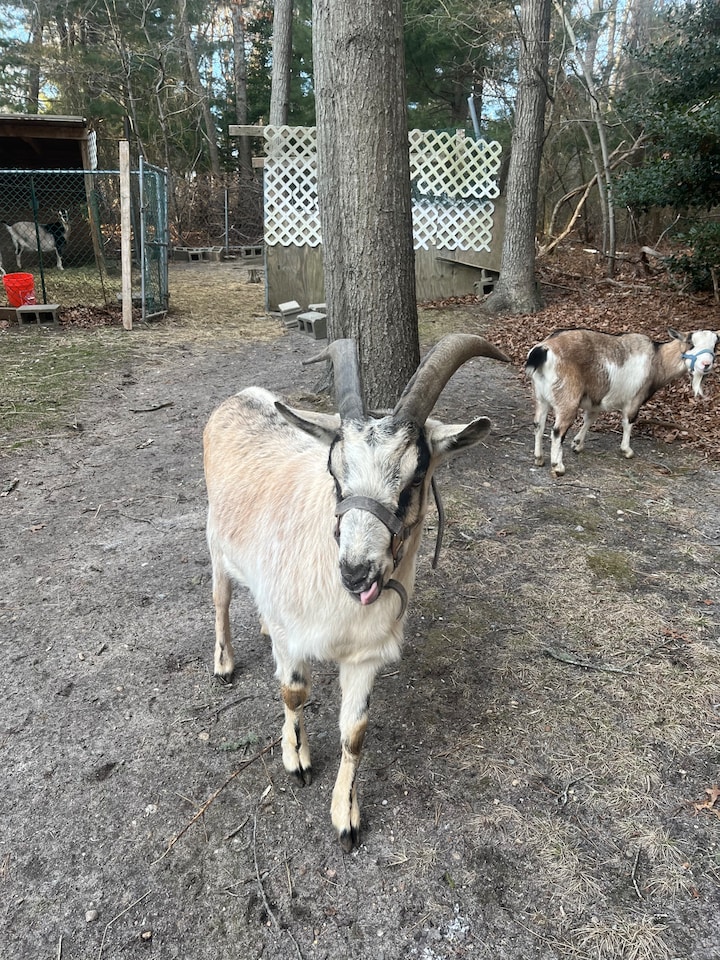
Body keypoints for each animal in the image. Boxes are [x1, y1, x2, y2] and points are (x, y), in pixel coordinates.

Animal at [203, 334, 509, 850]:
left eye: (416, 475)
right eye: (334, 469)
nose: (355, 572)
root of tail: (238, 397)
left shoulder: (365, 656)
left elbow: (355, 733)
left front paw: (345, 818)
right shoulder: (292, 636)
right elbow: (292, 693)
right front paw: (297, 761)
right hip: (216, 541)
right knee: (221, 598)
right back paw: (224, 664)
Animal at [526, 327, 718, 476]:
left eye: (715, 345)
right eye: (691, 344)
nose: (706, 364)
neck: (657, 359)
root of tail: (544, 349)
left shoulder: (596, 397)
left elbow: (590, 418)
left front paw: (577, 444)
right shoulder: (635, 398)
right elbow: (628, 421)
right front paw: (627, 450)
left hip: (540, 396)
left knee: (538, 424)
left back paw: (539, 458)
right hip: (567, 397)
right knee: (557, 431)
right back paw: (558, 467)